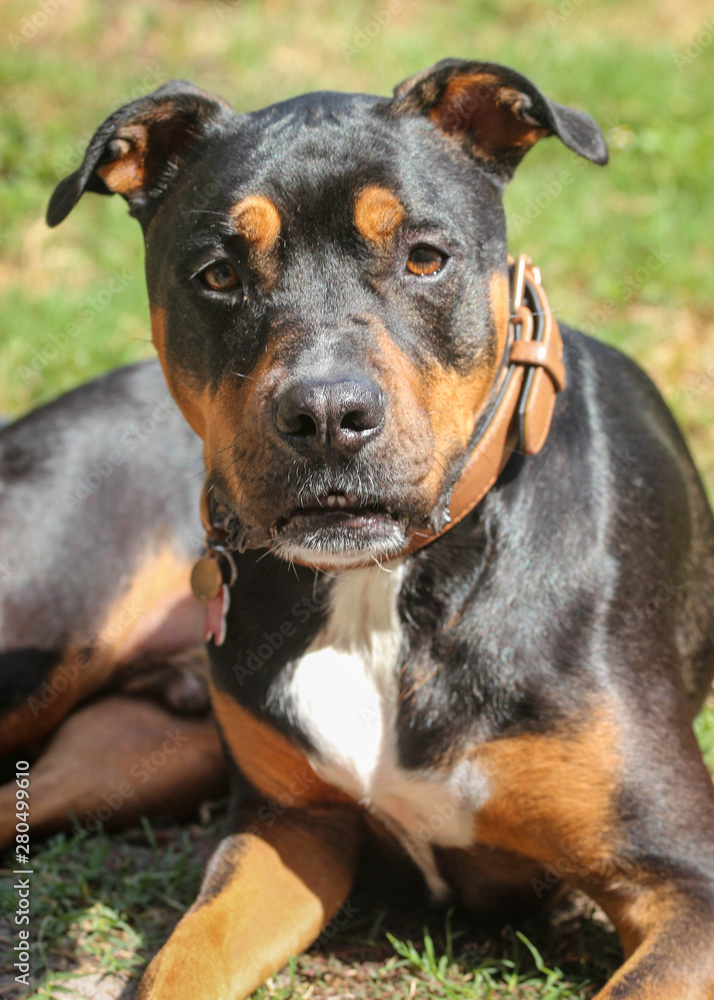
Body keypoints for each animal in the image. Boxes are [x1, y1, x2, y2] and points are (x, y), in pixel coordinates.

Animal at [1, 62, 712, 1000]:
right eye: (217, 274)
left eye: (425, 257)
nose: (327, 415)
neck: (384, 586)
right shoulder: (286, 826)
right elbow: (180, 962)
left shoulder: (681, 875)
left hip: (130, 751)